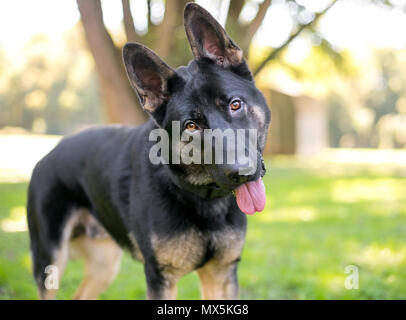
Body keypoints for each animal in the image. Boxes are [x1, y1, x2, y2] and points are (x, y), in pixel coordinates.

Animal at [26, 3, 270, 300]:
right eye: (191, 126)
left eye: (235, 105)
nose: (241, 172)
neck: (203, 199)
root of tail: (51, 152)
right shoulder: (160, 278)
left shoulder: (221, 275)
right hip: (51, 262)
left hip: (104, 264)